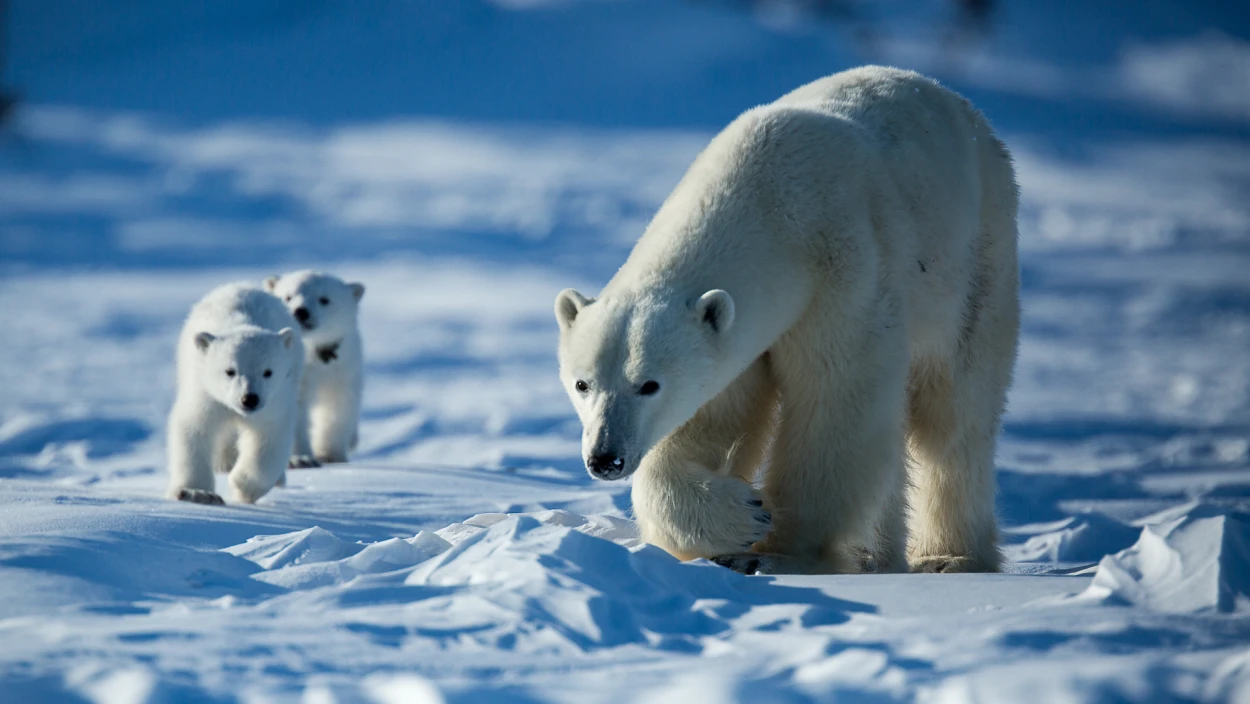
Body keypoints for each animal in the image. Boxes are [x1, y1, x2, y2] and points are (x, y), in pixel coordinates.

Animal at [555, 66, 1015, 575]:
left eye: (648, 384)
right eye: (582, 384)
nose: (605, 458)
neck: (770, 200)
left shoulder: (846, 272)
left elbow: (837, 399)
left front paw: (780, 552)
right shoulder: (740, 334)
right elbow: (715, 417)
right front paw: (741, 517)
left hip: (976, 260)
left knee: (955, 413)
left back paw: (949, 557)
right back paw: (877, 555)